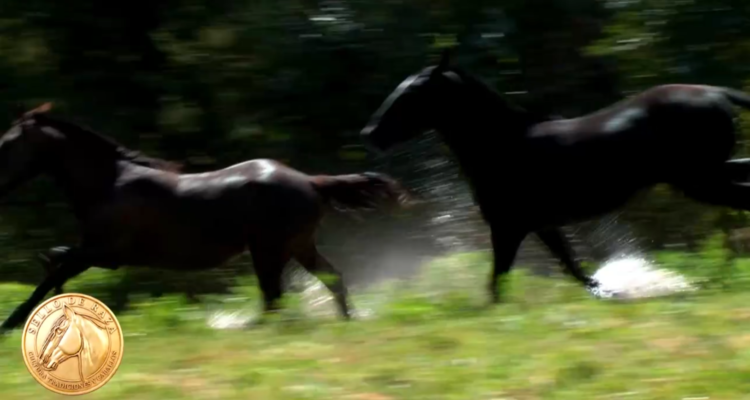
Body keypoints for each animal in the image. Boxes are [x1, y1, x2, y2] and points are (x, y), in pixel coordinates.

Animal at [0, 103, 411, 332]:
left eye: (7, 143)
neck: (109, 183)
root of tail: (310, 181)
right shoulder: (95, 251)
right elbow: (54, 262)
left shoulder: (105, 253)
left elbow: (50, 273)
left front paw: (11, 323)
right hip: (296, 246)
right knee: (330, 279)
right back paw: (347, 321)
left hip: (269, 250)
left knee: (275, 295)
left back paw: (248, 328)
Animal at [361, 50, 750, 303]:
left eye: (412, 94)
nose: (369, 133)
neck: (501, 143)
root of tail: (716, 92)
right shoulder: (541, 225)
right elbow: (573, 268)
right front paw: (614, 291)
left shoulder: (508, 226)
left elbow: (499, 279)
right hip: (708, 172)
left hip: (699, 180)